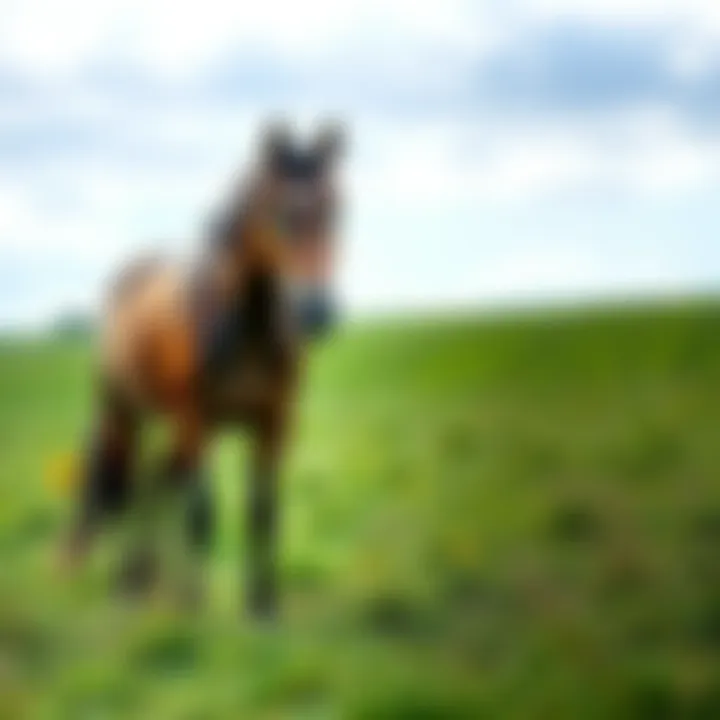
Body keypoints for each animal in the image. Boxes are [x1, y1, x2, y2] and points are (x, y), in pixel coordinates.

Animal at [61, 119, 346, 618]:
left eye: (337, 209)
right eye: (281, 213)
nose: (318, 311)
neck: (244, 327)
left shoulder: (274, 423)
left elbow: (263, 511)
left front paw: (263, 605)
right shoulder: (197, 420)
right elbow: (202, 511)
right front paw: (194, 606)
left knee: (152, 483)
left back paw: (141, 577)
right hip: (126, 411)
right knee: (127, 477)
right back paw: (120, 578)